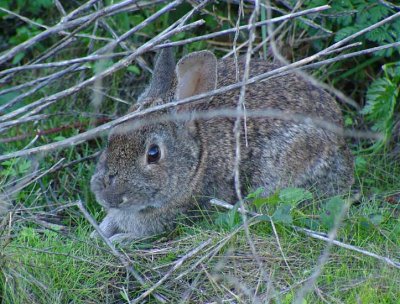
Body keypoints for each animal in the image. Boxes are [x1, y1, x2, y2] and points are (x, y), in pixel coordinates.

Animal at [90, 47, 354, 242]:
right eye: (111, 137)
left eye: (153, 154)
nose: (107, 197)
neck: (197, 162)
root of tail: (342, 147)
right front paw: (98, 234)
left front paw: (118, 240)